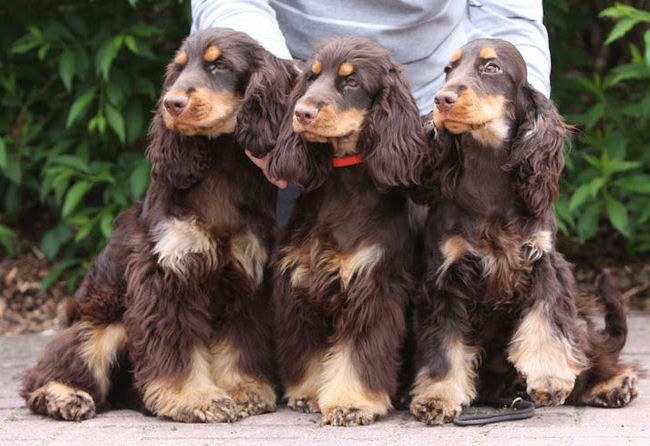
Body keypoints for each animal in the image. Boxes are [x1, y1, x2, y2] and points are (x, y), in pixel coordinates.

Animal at [20, 27, 296, 422]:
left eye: (220, 66)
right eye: (178, 69)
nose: (172, 103)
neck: (221, 171)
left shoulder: (245, 276)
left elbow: (240, 340)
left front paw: (244, 389)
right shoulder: (166, 273)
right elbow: (176, 345)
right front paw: (194, 398)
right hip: (100, 323)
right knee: (52, 367)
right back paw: (64, 396)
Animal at [262, 37, 426, 426]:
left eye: (351, 82)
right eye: (311, 77)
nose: (302, 113)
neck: (343, 181)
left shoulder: (374, 286)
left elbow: (358, 353)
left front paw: (352, 403)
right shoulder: (301, 281)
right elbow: (307, 348)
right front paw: (308, 393)